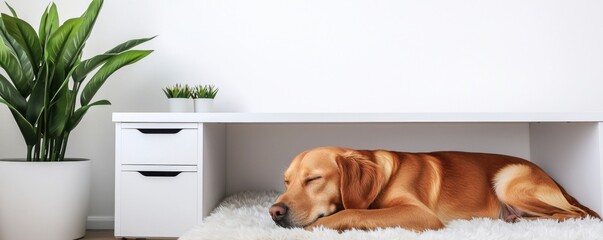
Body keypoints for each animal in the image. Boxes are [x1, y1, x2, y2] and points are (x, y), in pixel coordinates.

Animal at [272, 146, 600, 231]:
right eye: (286, 181)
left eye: (313, 179)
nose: (274, 211)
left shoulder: (421, 215)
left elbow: (355, 212)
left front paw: (320, 226)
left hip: (509, 181)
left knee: (576, 214)